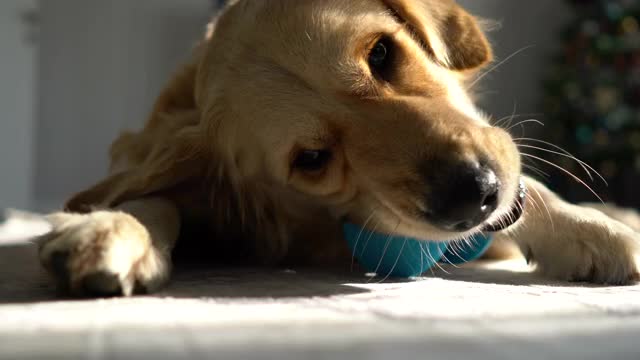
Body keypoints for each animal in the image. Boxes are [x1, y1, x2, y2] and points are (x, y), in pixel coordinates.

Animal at [38, 1, 640, 296]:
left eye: (381, 53)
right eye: (312, 160)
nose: (474, 195)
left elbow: (529, 186)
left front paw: (593, 231)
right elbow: (147, 196)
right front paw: (110, 230)